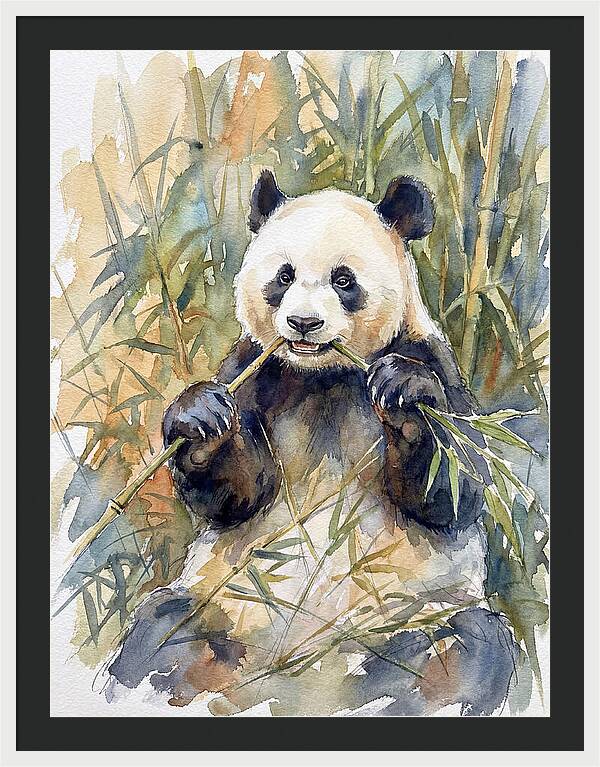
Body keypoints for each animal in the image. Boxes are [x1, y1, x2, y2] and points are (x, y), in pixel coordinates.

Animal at [108, 171, 518, 716]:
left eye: (343, 281)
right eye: (283, 277)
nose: (303, 323)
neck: (324, 375)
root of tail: (300, 675)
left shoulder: (430, 357)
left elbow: (455, 488)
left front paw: (405, 396)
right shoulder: (256, 369)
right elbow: (240, 494)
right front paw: (200, 419)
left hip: (411, 618)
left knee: (467, 648)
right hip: (224, 608)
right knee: (159, 635)